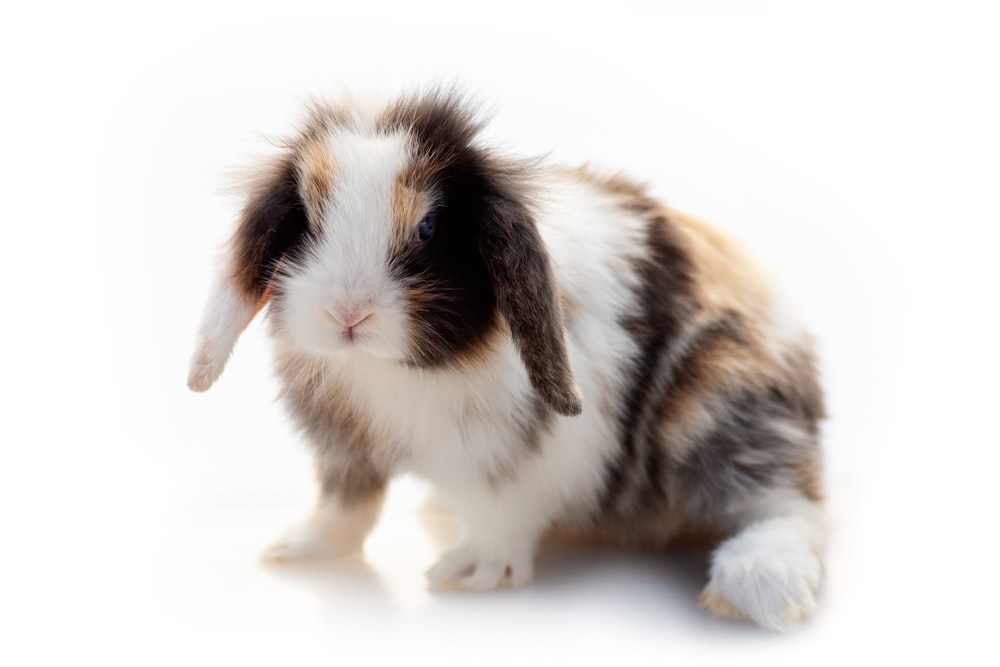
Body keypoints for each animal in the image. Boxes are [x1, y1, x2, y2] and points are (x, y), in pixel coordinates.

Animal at [189, 88, 828, 632]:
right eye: (305, 218)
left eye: (428, 227)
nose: (349, 313)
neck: (391, 371)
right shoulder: (347, 450)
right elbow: (347, 505)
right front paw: (297, 549)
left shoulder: (518, 457)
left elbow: (501, 510)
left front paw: (470, 572)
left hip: (714, 408)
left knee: (788, 503)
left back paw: (755, 581)